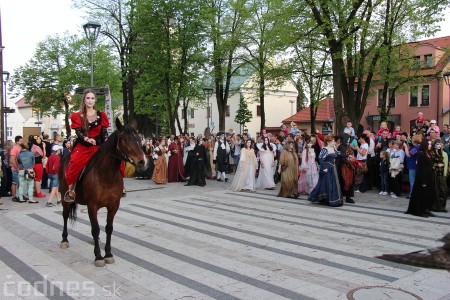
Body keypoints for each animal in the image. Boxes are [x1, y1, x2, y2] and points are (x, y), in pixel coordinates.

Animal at [58, 118, 149, 266]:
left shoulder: (113, 205)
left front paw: (108, 254)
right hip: (64, 198)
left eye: (138, 139)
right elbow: (95, 229)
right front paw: (98, 256)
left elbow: (108, 228)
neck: (106, 175)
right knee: (65, 215)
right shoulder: (92, 206)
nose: (142, 162)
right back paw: (64, 240)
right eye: (124, 139)